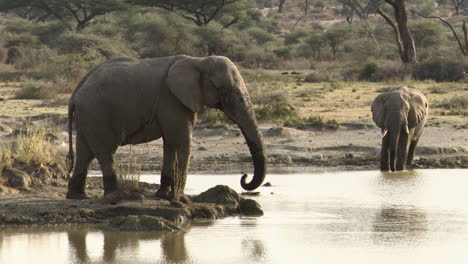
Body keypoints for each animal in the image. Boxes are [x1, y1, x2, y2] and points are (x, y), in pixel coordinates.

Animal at [65, 55, 266, 200]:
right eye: (225, 91)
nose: (244, 177)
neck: (199, 61)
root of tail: (76, 92)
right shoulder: (172, 100)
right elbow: (182, 142)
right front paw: (180, 199)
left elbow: (170, 144)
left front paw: (163, 195)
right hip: (96, 113)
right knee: (105, 152)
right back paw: (113, 196)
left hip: (88, 116)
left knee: (85, 152)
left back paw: (79, 196)